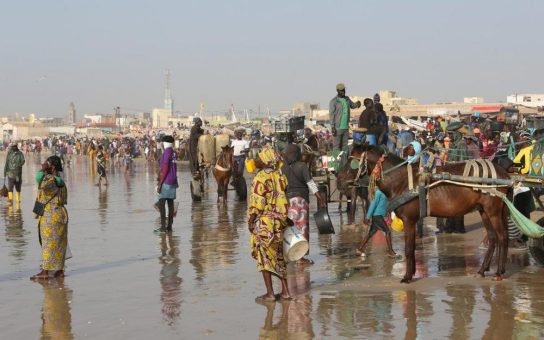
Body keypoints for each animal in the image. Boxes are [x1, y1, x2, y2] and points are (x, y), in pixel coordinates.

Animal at [354, 144, 512, 284]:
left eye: (353, 160)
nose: (350, 183)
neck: (401, 181)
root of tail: (504, 173)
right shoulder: (412, 220)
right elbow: (412, 247)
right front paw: (412, 273)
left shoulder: (409, 220)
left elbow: (408, 248)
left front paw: (407, 276)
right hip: (484, 211)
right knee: (493, 238)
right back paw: (482, 270)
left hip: (493, 212)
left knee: (503, 237)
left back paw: (498, 272)